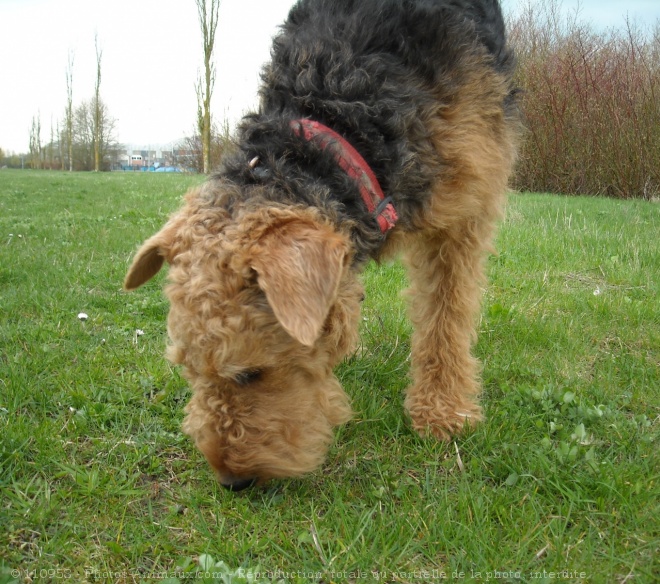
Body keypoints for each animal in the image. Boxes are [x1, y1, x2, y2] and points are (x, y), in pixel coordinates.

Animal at [124, 0, 520, 490]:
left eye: (250, 373)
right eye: (188, 368)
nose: (232, 480)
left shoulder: (464, 214)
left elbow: (446, 316)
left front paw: (442, 411)